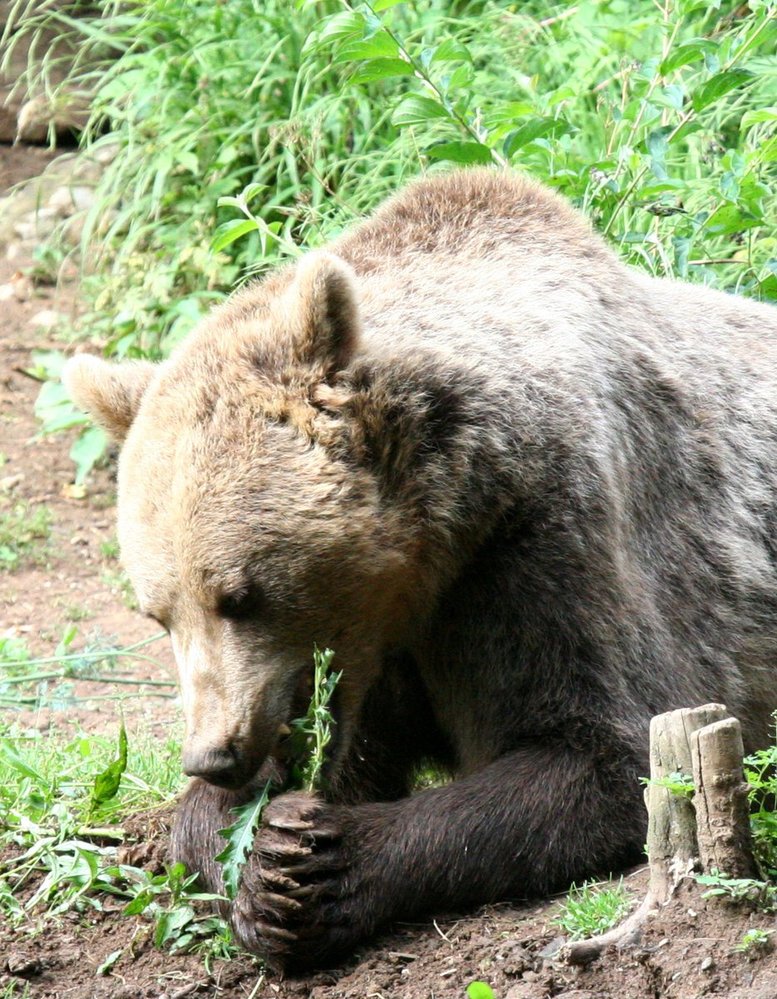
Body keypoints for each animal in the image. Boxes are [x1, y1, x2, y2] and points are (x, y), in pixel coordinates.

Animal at [63, 168, 776, 972]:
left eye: (239, 596)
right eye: (159, 613)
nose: (213, 753)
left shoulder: (544, 546)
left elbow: (604, 754)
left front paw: (324, 863)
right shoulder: (375, 667)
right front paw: (256, 862)